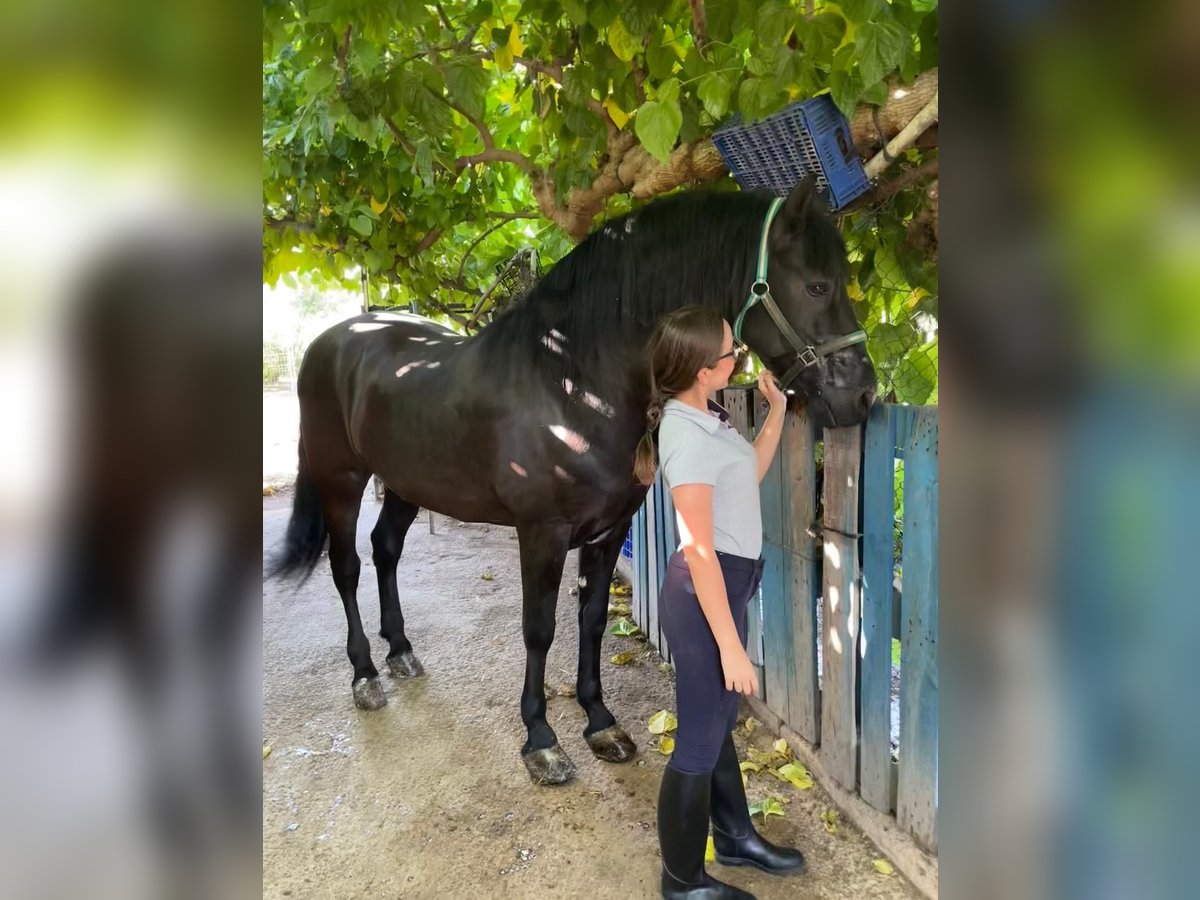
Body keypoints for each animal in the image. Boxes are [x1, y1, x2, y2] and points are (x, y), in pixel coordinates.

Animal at [270, 176, 873, 782]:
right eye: (817, 285)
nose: (863, 394)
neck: (571, 381)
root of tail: (334, 340)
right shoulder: (542, 532)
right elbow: (539, 630)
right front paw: (541, 739)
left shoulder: (608, 530)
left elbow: (593, 620)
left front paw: (600, 722)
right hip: (342, 481)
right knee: (346, 567)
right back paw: (365, 674)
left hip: (406, 483)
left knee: (386, 549)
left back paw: (400, 651)